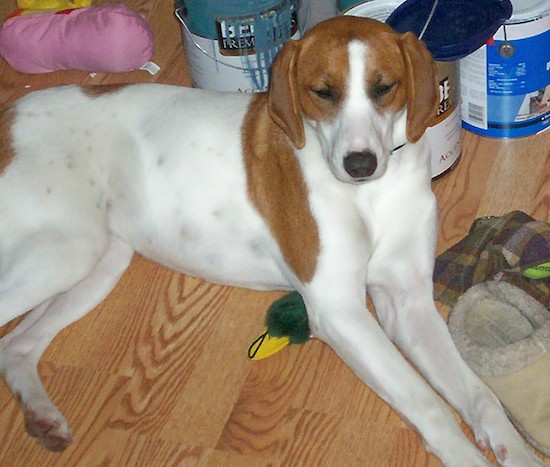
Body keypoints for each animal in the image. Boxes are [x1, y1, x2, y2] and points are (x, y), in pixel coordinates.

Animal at [0, 16, 544, 466]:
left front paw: (516, 452)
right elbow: (427, 402)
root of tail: (10, 114)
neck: (372, 194)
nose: (359, 165)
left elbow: (480, 396)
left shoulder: (406, 301)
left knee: (16, 344)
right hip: (64, 251)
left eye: (384, 88)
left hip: (97, 261)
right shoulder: (338, 309)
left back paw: (43, 418)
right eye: (321, 92)